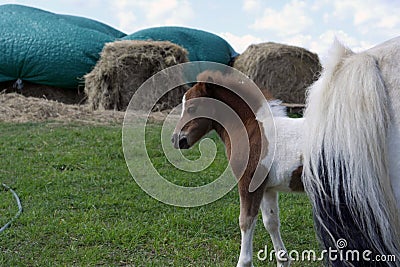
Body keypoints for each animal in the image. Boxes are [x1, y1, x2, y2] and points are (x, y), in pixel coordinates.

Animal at [170, 71, 304, 267]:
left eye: (192, 108)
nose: (176, 140)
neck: (253, 130)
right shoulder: (267, 188)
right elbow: (271, 221)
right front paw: (283, 260)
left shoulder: (248, 183)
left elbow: (245, 221)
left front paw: (244, 262)